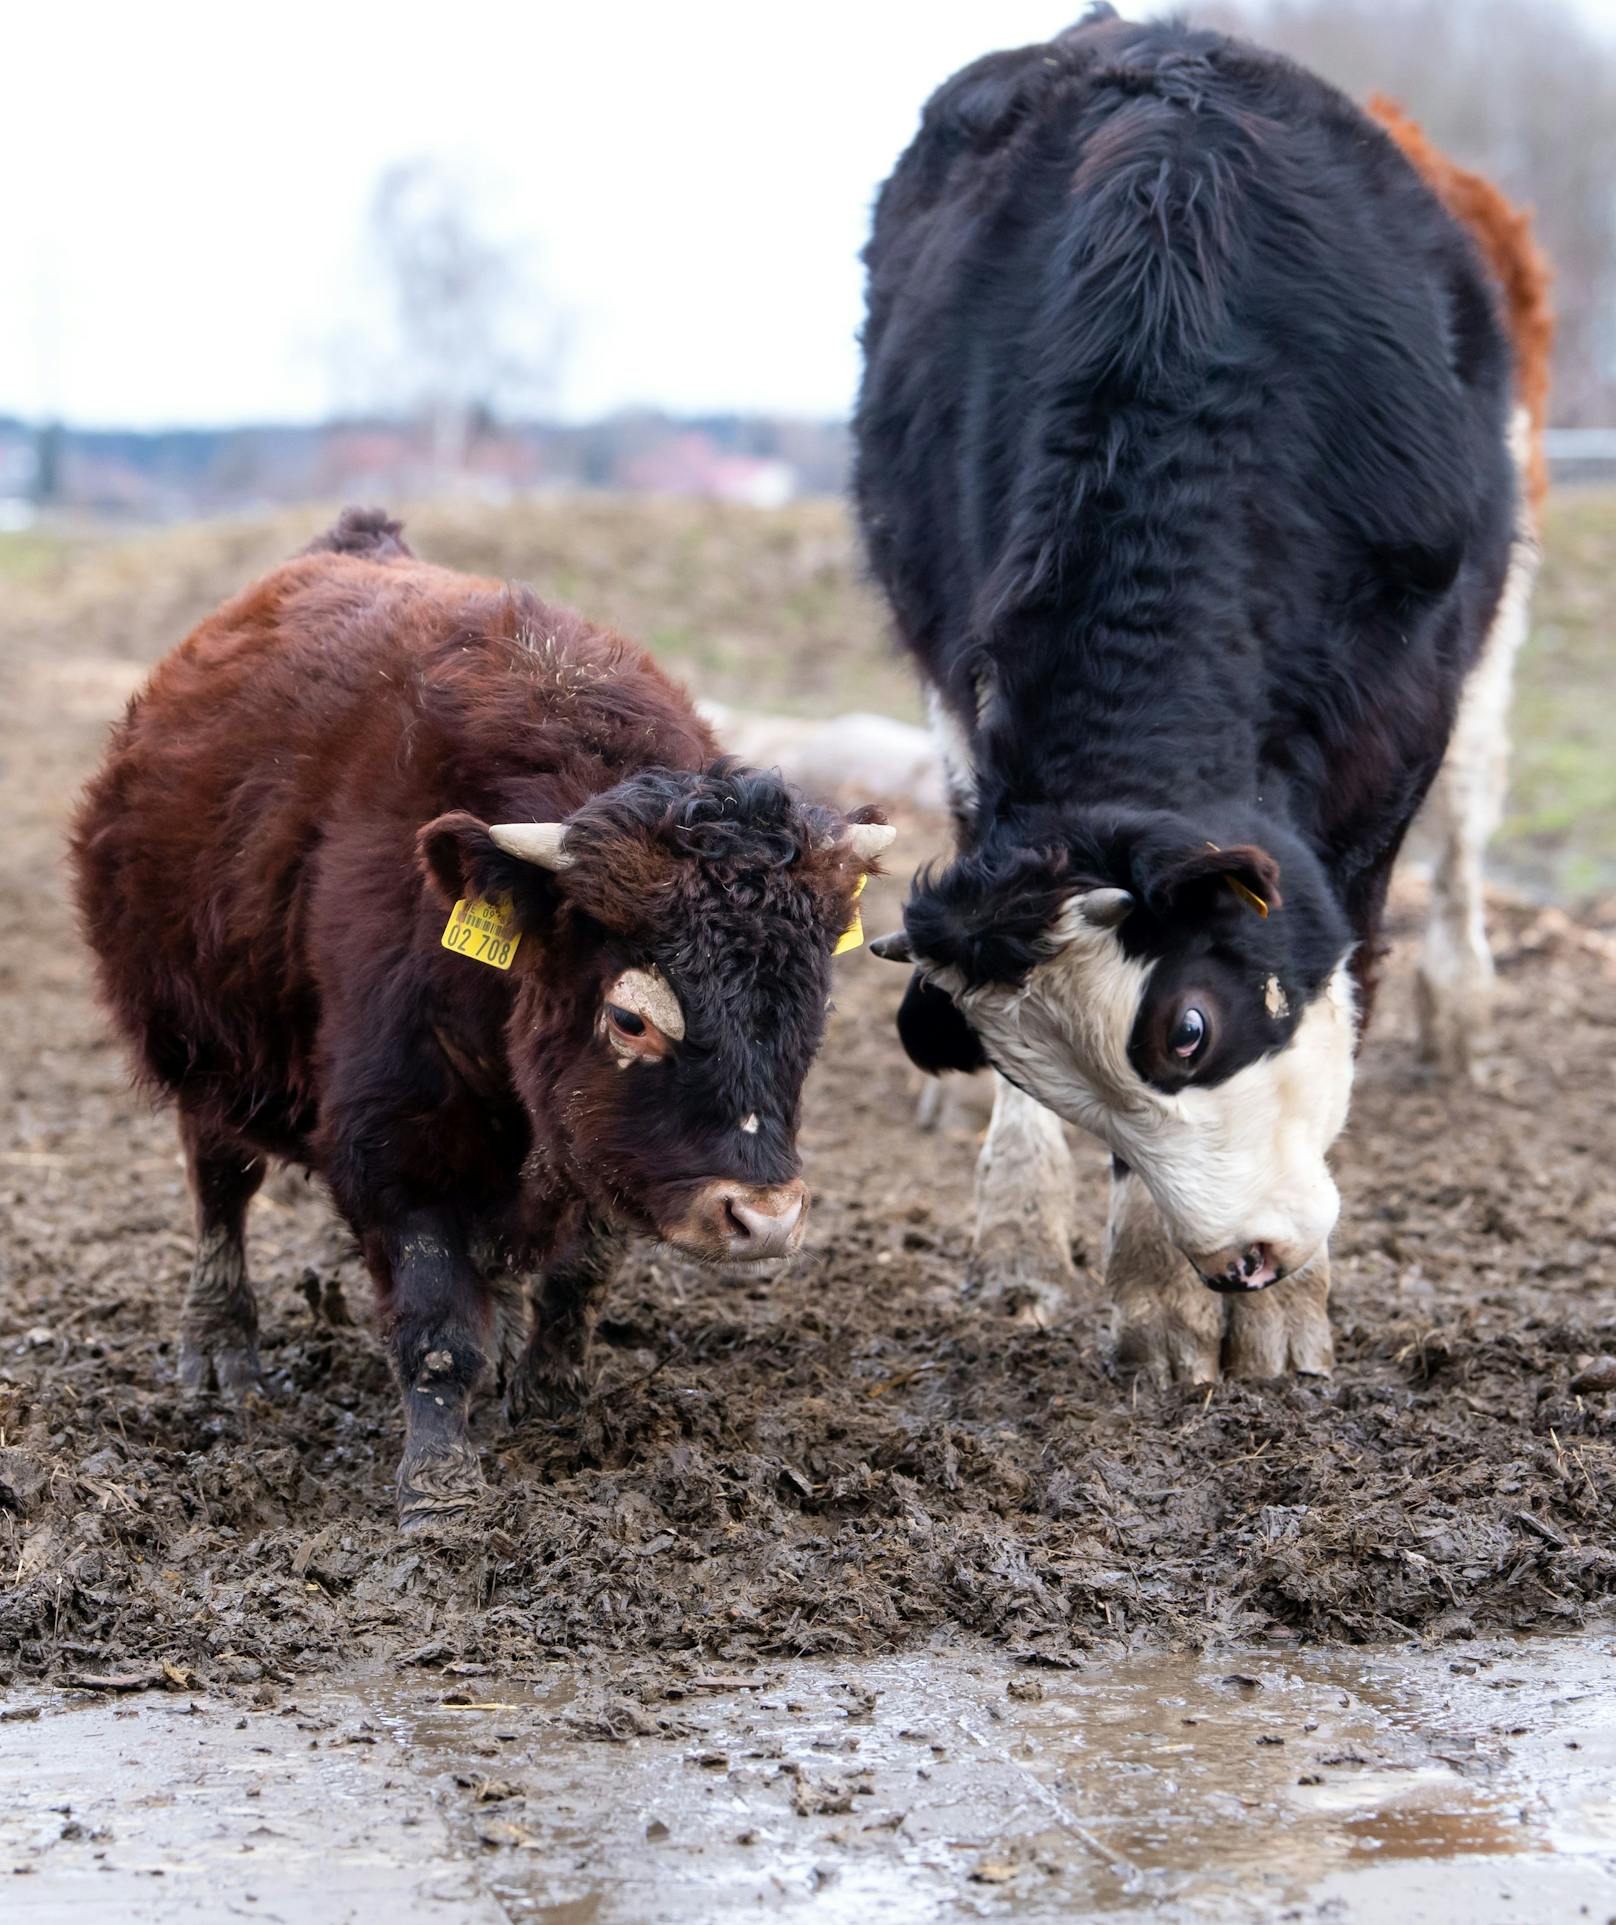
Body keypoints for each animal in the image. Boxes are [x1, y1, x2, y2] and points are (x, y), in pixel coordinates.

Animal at [76, 508, 897, 1516]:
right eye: (630, 1020)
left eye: (816, 1007)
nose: (765, 1218)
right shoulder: (393, 1145)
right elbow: (436, 1323)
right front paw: (440, 1484)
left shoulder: (599, 1144)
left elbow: (579, 1275)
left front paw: (555, 1401)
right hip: (204, 1052)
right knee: (221, 1185)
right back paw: (221, 1349)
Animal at [859, 7, 1556, 1378]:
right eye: (1060, 1082)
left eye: (1185, 1030)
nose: (1247, 1256)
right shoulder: (971, 694)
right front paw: (1153, 1293)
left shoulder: (1394, 726)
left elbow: (1352, 958)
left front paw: (1284, 1313)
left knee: (1467, 829)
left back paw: (1459, 1011)